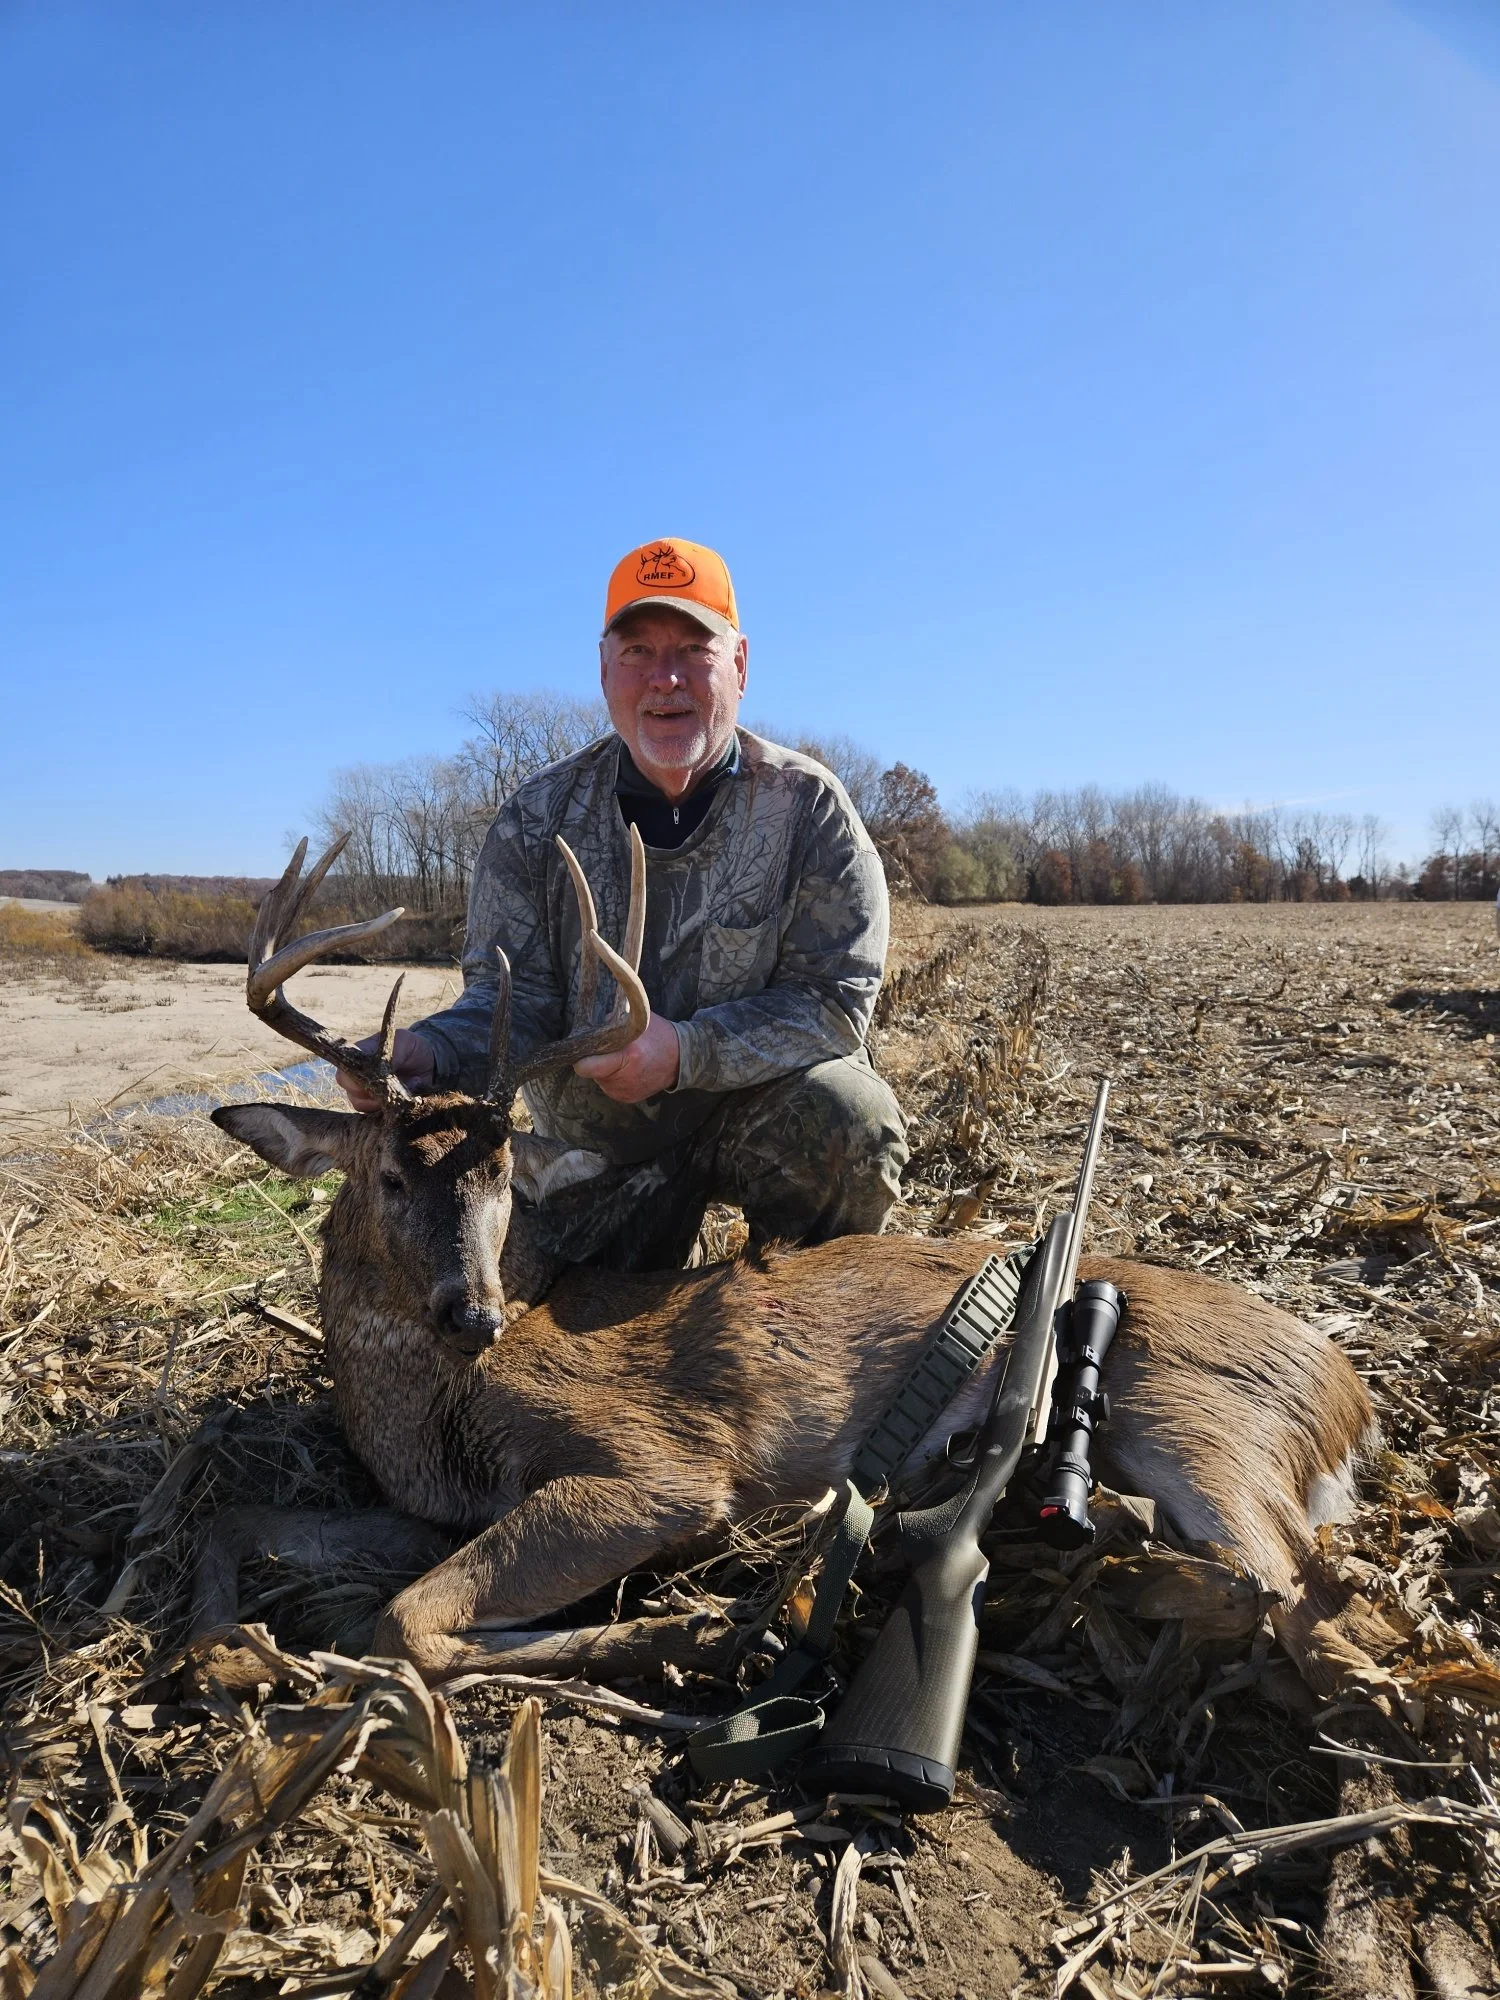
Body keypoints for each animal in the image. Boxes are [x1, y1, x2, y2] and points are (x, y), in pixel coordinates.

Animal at [199, 831, 1380, 1703]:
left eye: (503, 1178)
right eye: (390, 1177)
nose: (474, 1313)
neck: (428, 1413)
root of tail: (1348, 1390)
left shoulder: (660, 1465)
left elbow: (404, 1619)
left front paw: (673, 1628)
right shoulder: (416, 1504)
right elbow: (250, 1524)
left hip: (1205, 1427)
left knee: (1322, 1616)